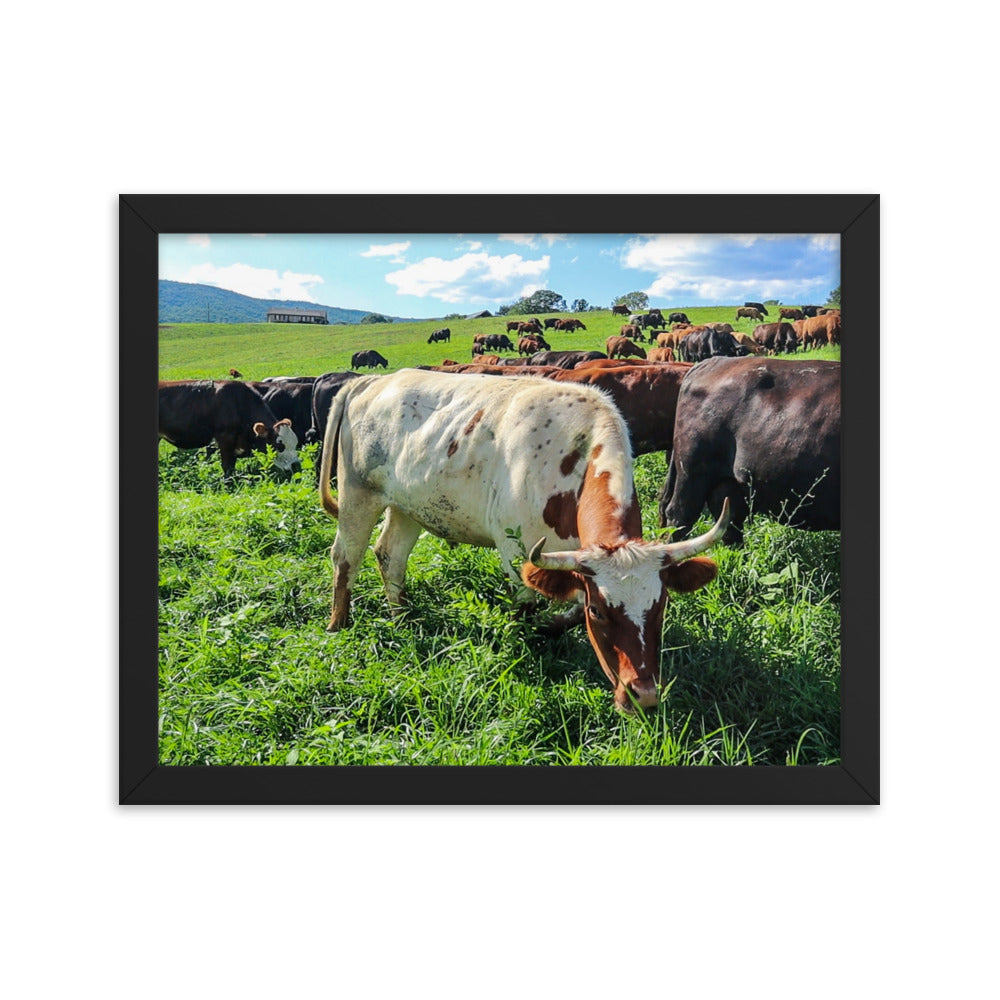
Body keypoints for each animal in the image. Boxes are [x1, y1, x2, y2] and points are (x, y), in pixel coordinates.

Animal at [318, 369, 729, 711]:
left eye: (661, 606)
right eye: (600, 612)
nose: (643, 695)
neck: (574, 458)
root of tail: (371, 381)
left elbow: (568, 610)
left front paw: (552, 627)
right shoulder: (516, 553)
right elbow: (527, 610)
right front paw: (527, 646)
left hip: (407, 507)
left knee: (390, 556)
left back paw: (402, 616)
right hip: (358, 495)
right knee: (345, 558)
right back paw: (338, 626)